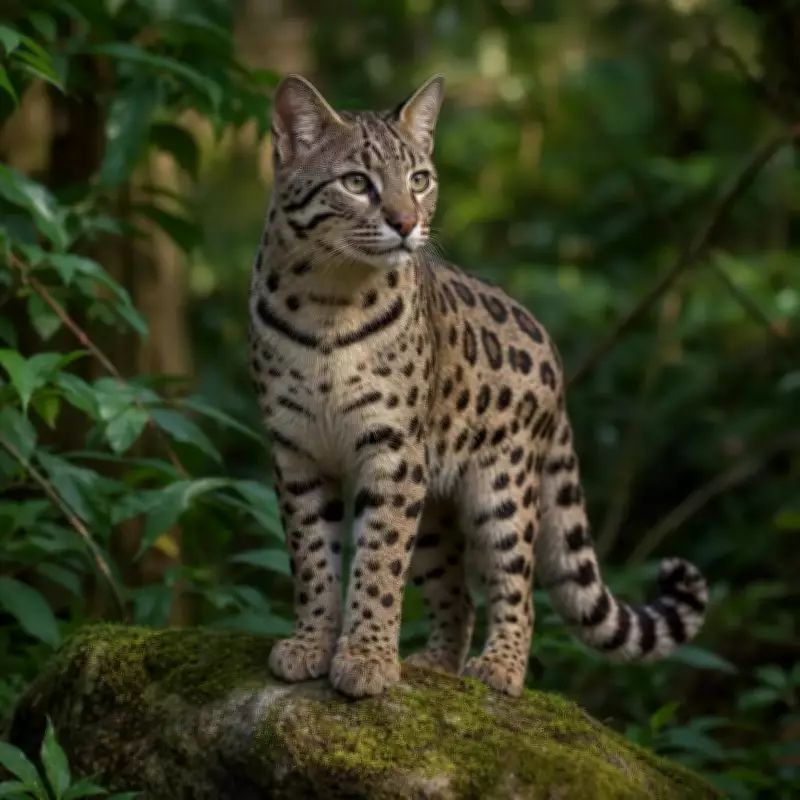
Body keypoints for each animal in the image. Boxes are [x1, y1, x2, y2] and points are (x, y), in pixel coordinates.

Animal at [248, 72, 709, 699]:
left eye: (419, 180)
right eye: (356, 182)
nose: (406, 224)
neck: (329, 299)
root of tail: (552, 353)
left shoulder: (393, 450)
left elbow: (378, 562)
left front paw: (366, 659)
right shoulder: (296, 452)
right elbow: (312, 556)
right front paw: (311, 645)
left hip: (503, 489)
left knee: (518, 590)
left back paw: (499, 670)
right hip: (434, 508)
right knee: (458, 595)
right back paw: (435, 665)